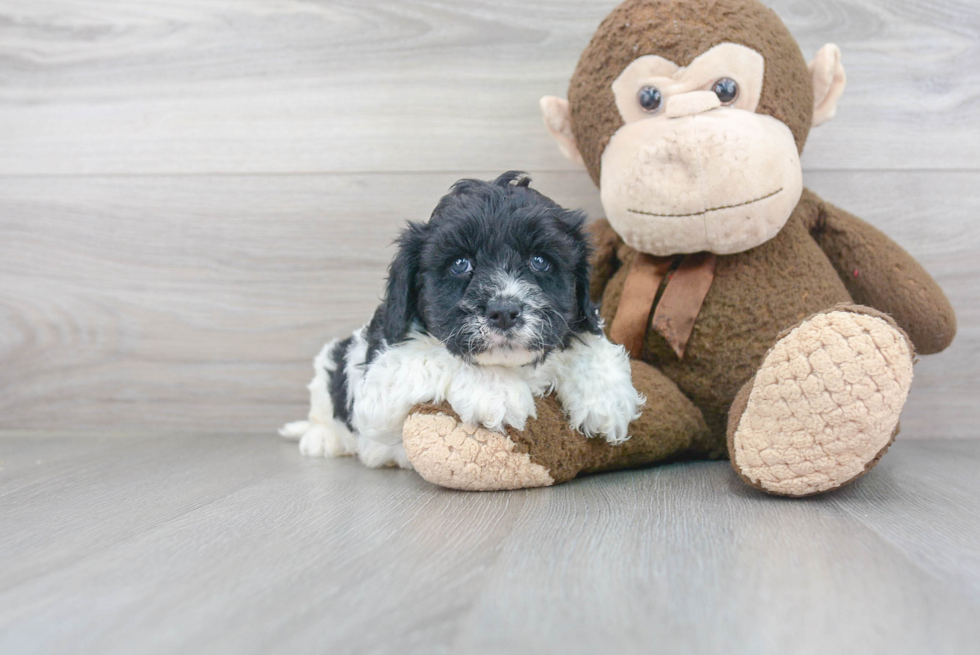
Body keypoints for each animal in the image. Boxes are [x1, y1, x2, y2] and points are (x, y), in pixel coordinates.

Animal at [282, 172, 644, 468]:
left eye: (540, 260)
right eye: (460, 264)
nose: (503, 311)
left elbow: (588, 338)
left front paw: (605, 396)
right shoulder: (377, 389)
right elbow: (437, 354)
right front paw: (498, 392)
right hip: (333, 364)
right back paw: (322, 438)